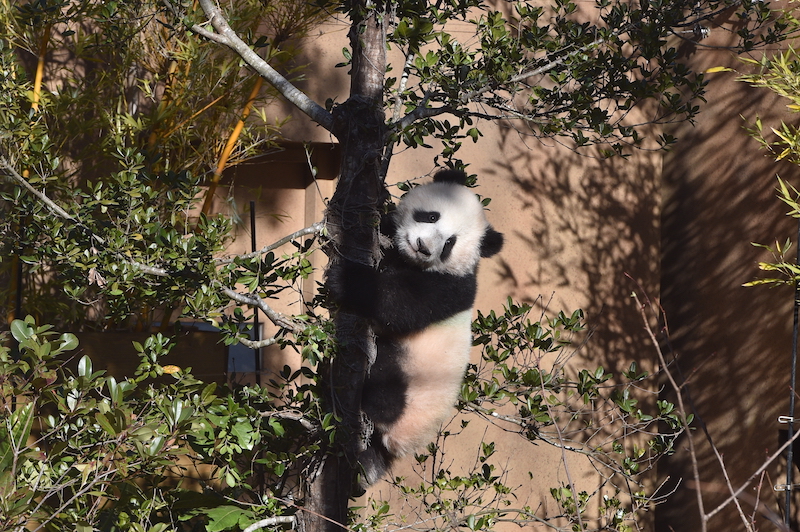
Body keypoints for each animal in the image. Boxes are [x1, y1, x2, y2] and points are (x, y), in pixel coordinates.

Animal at [324, 169, 500, 486]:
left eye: (449, 244)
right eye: (431, 216)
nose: (424, 247)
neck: (407, 259)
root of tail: (398, 444)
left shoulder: (452, 287)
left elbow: (399, 305)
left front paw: (344, 278)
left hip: (410, 382)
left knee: (384, 385)